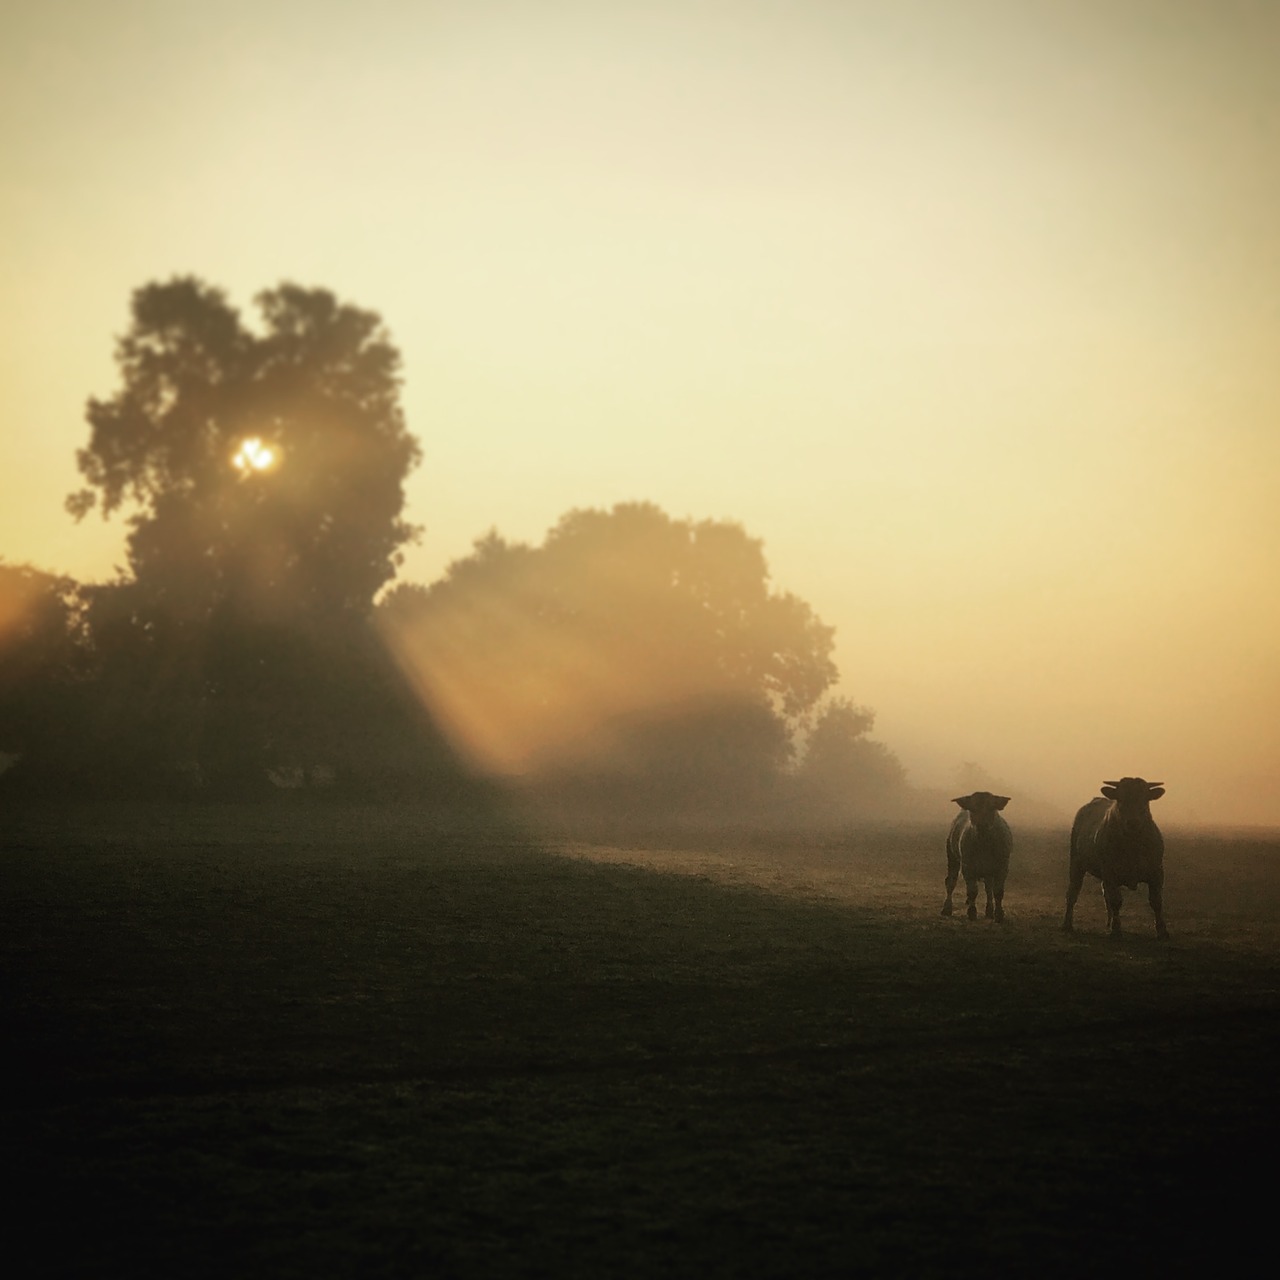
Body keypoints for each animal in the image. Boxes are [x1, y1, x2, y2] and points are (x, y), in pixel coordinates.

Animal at [942, 788, 1008, 921]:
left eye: (991, 807)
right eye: (973, 808)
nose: (982, 824)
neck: (983, 844)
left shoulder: (1002, 867)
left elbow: (998, 891)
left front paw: (999, 914)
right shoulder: (968, 868)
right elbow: (972, 891)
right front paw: (972, 912)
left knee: (988, 888)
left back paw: (989, 911)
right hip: (952, 857)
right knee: (950, 881)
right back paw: (947, 908)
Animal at [1059, 773, 1172, 936]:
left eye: (1145, 799)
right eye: (1120, 799)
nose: (1133, 822)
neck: (1133, 844)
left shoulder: (1157, 872)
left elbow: (1156, 901)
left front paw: (1162, 930)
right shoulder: (1110, 872)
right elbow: (1116, 900)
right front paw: (1116, 929)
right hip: (1076, 863)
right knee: (1073, 892)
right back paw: (1067, 924)